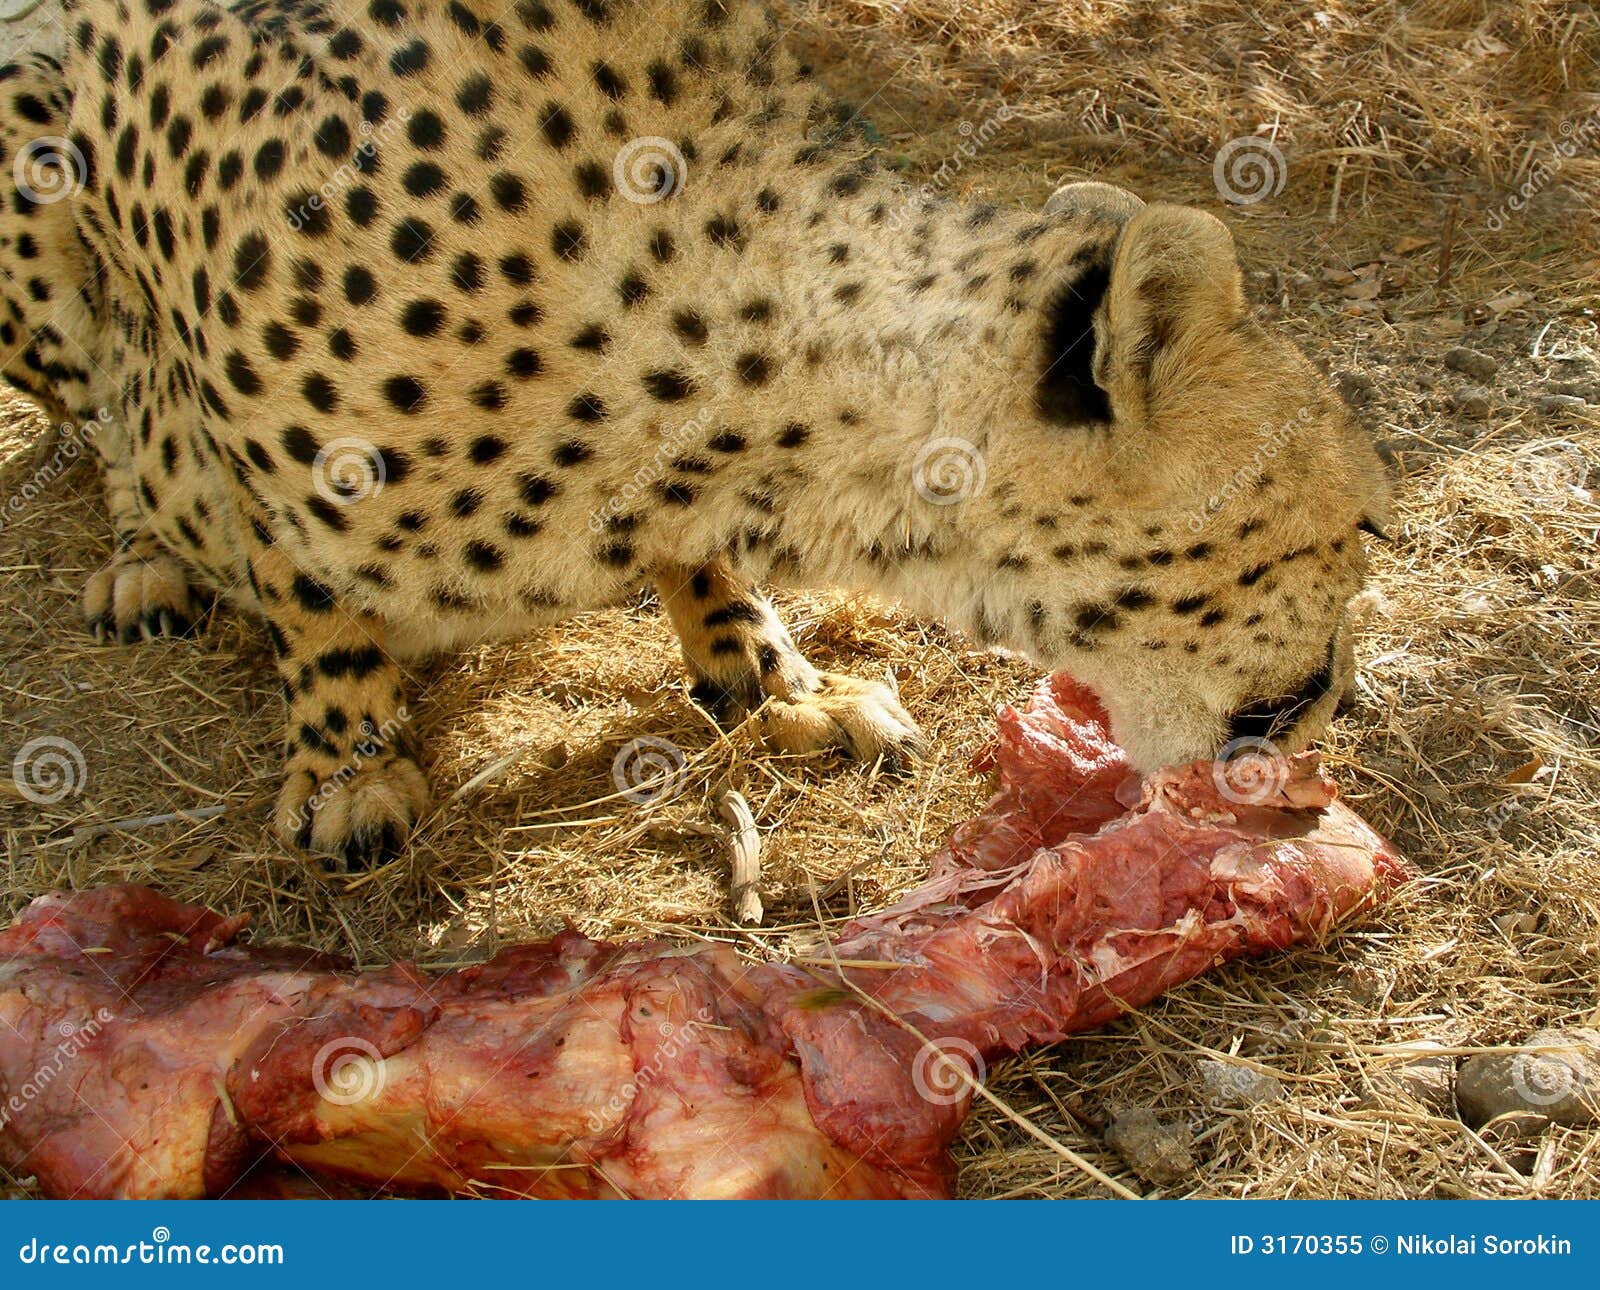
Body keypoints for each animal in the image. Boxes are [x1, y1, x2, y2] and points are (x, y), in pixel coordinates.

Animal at [0, 0, 1392, 868]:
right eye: (1367, 523)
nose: (1337, 697)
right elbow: (297, 564)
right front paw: (348, 765)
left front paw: (780, 677)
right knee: (106, 416)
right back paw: (144, 557)